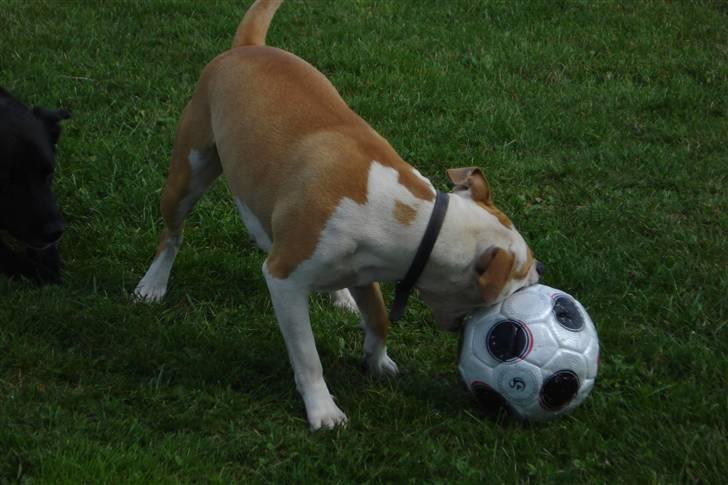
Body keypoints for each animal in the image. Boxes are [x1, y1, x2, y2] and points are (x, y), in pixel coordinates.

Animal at [135, 0, 540, 432]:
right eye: (521, 274)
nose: (541, 274)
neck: (421, 223)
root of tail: (247, 46)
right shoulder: (283, 279)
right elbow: (307, 355)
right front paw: (323, 410)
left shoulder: (364, 269)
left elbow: (378, 319)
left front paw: (377, 362)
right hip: (188, 173)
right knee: (172, 234)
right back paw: (153, 284)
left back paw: (337, 295)